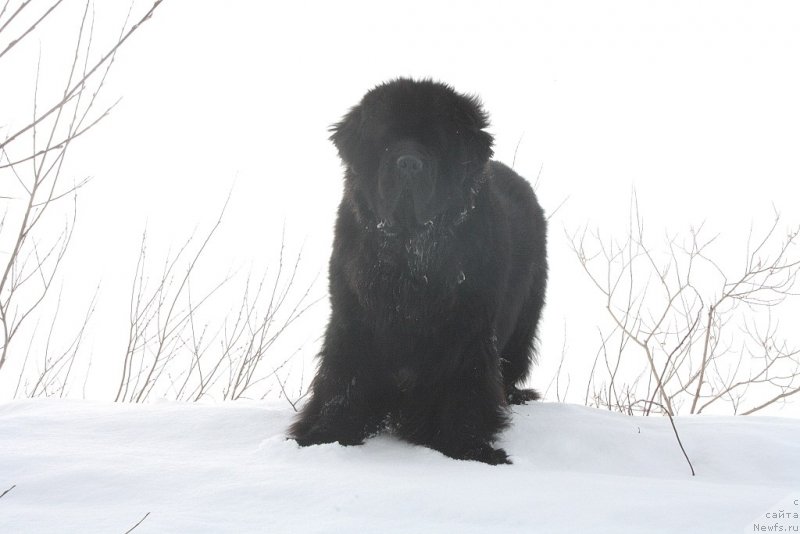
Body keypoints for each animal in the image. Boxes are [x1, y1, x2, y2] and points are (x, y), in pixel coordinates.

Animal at [290, 78, 548, 464]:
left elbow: (464, 388)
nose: (409, 163)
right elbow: (343, 379)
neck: (410, 257)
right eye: (386, 140)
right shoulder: (354, 318)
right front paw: (325, 435)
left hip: (522, 325)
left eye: (436, 143)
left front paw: (468, 447)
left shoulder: (467, 331)